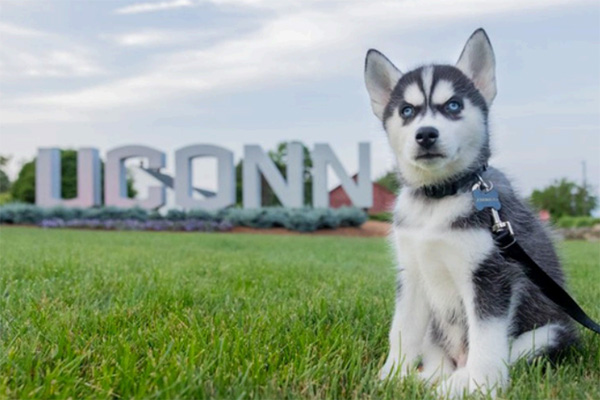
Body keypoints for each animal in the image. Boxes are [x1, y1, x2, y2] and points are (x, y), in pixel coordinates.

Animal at [364, 28, 580, 396]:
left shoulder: (491, 273)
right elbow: (401, 330)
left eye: (453, 105)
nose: (426, 134)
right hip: (435, 333)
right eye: (407, 111)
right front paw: (389, 377)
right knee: (438, 361)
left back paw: (457, 384)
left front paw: (480, 386)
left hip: (552, 333)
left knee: (506, 352)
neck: (437, 200)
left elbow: (487, 338)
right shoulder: (412, 274)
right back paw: (427, 378)